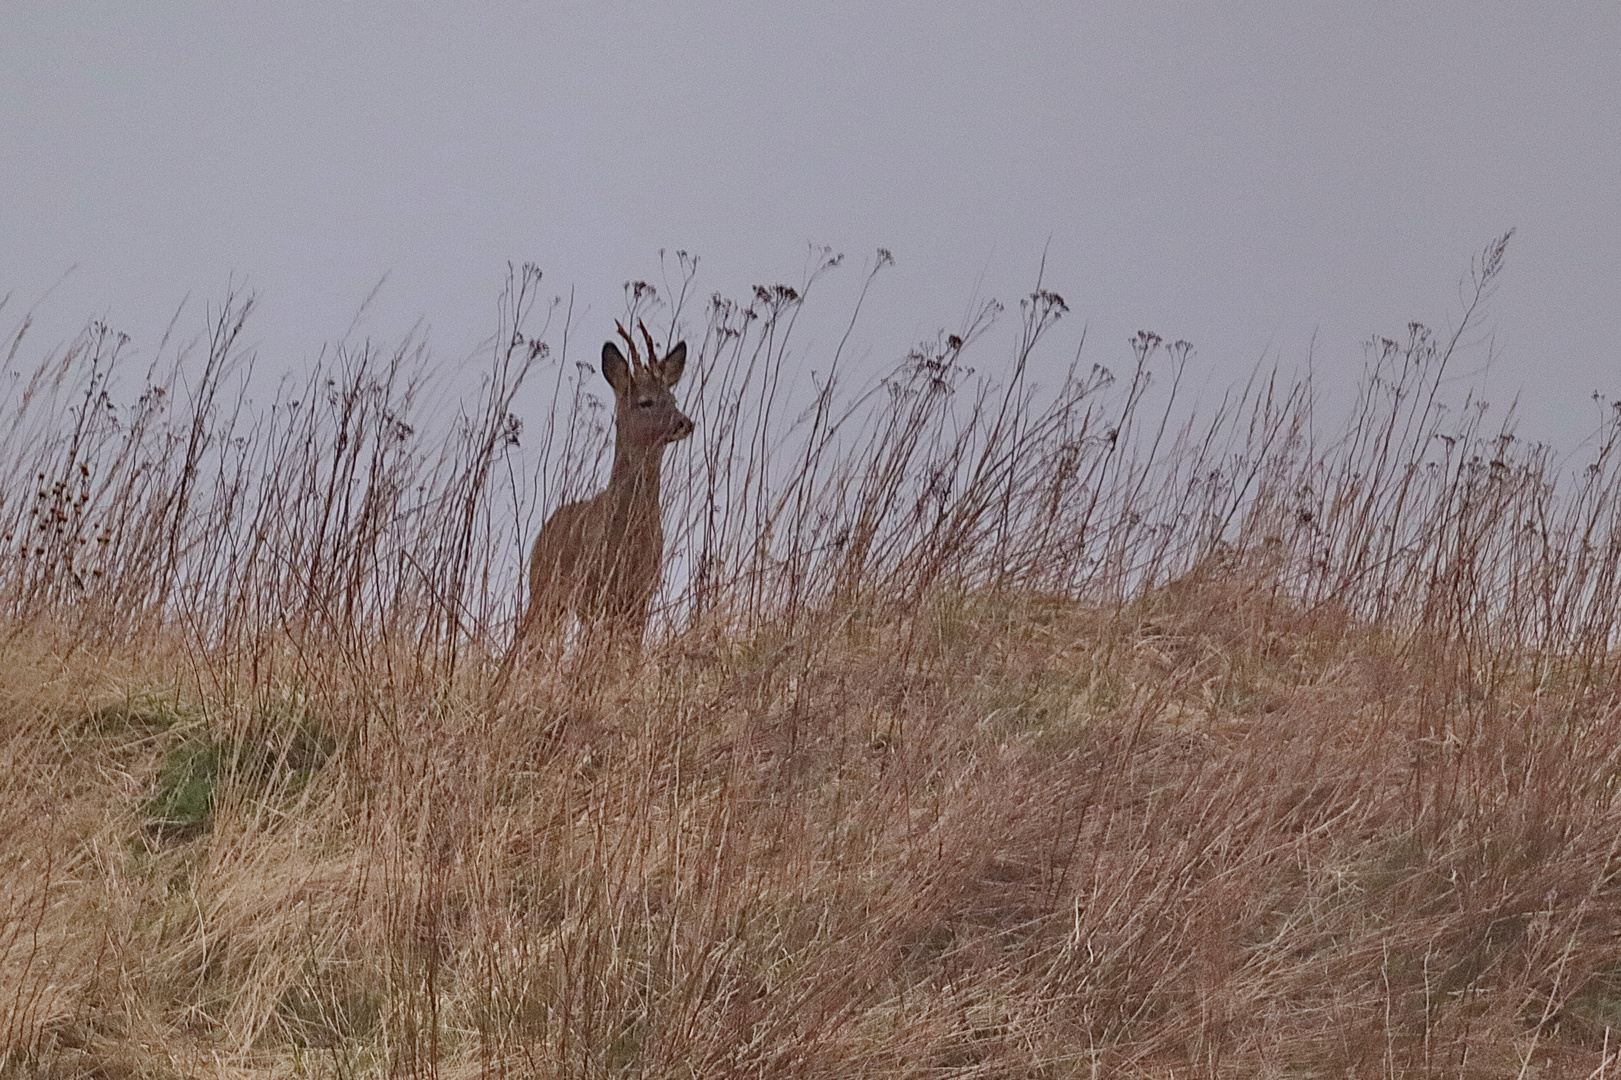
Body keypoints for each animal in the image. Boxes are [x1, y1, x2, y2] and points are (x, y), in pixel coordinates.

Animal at [521, 319, 693, 651]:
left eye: (674, 399)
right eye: (645, 402)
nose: (684, 423)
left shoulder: (641, 595)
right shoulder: (591, 591)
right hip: (543, 590)